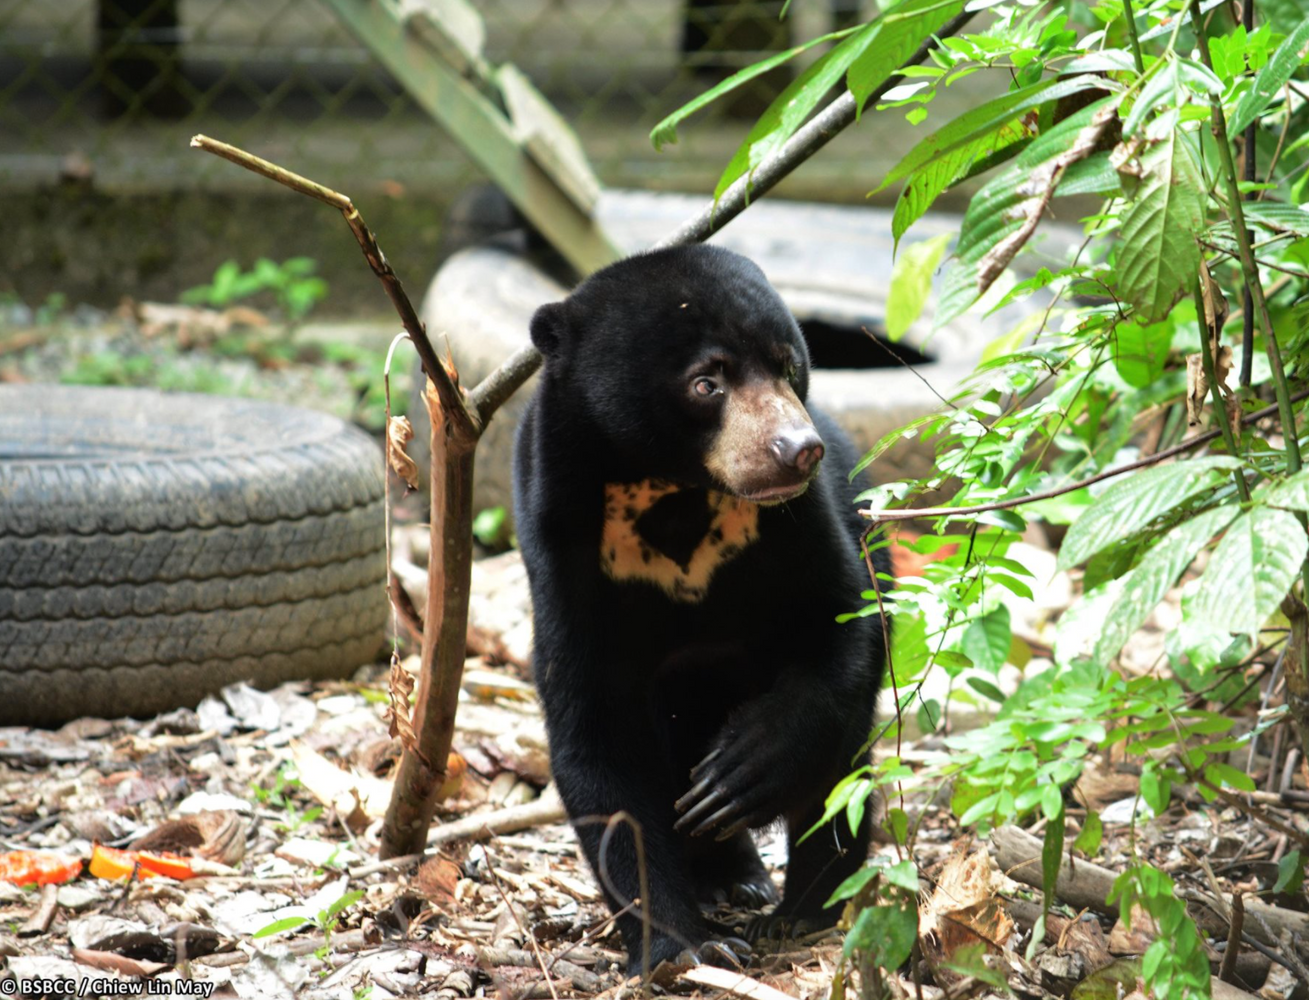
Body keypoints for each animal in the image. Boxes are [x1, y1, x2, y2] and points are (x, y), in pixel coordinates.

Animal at [513, 244, 889, 972]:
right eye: (705, 383)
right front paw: (687, 946)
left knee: (842, 764)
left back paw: (798, 908)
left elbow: (839, 634)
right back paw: (731, 875)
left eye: (786, 363)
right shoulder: (564, 553)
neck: (675, 492)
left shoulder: (801, 523)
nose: (797, 450)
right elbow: (598, 737)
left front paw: (741, 773)